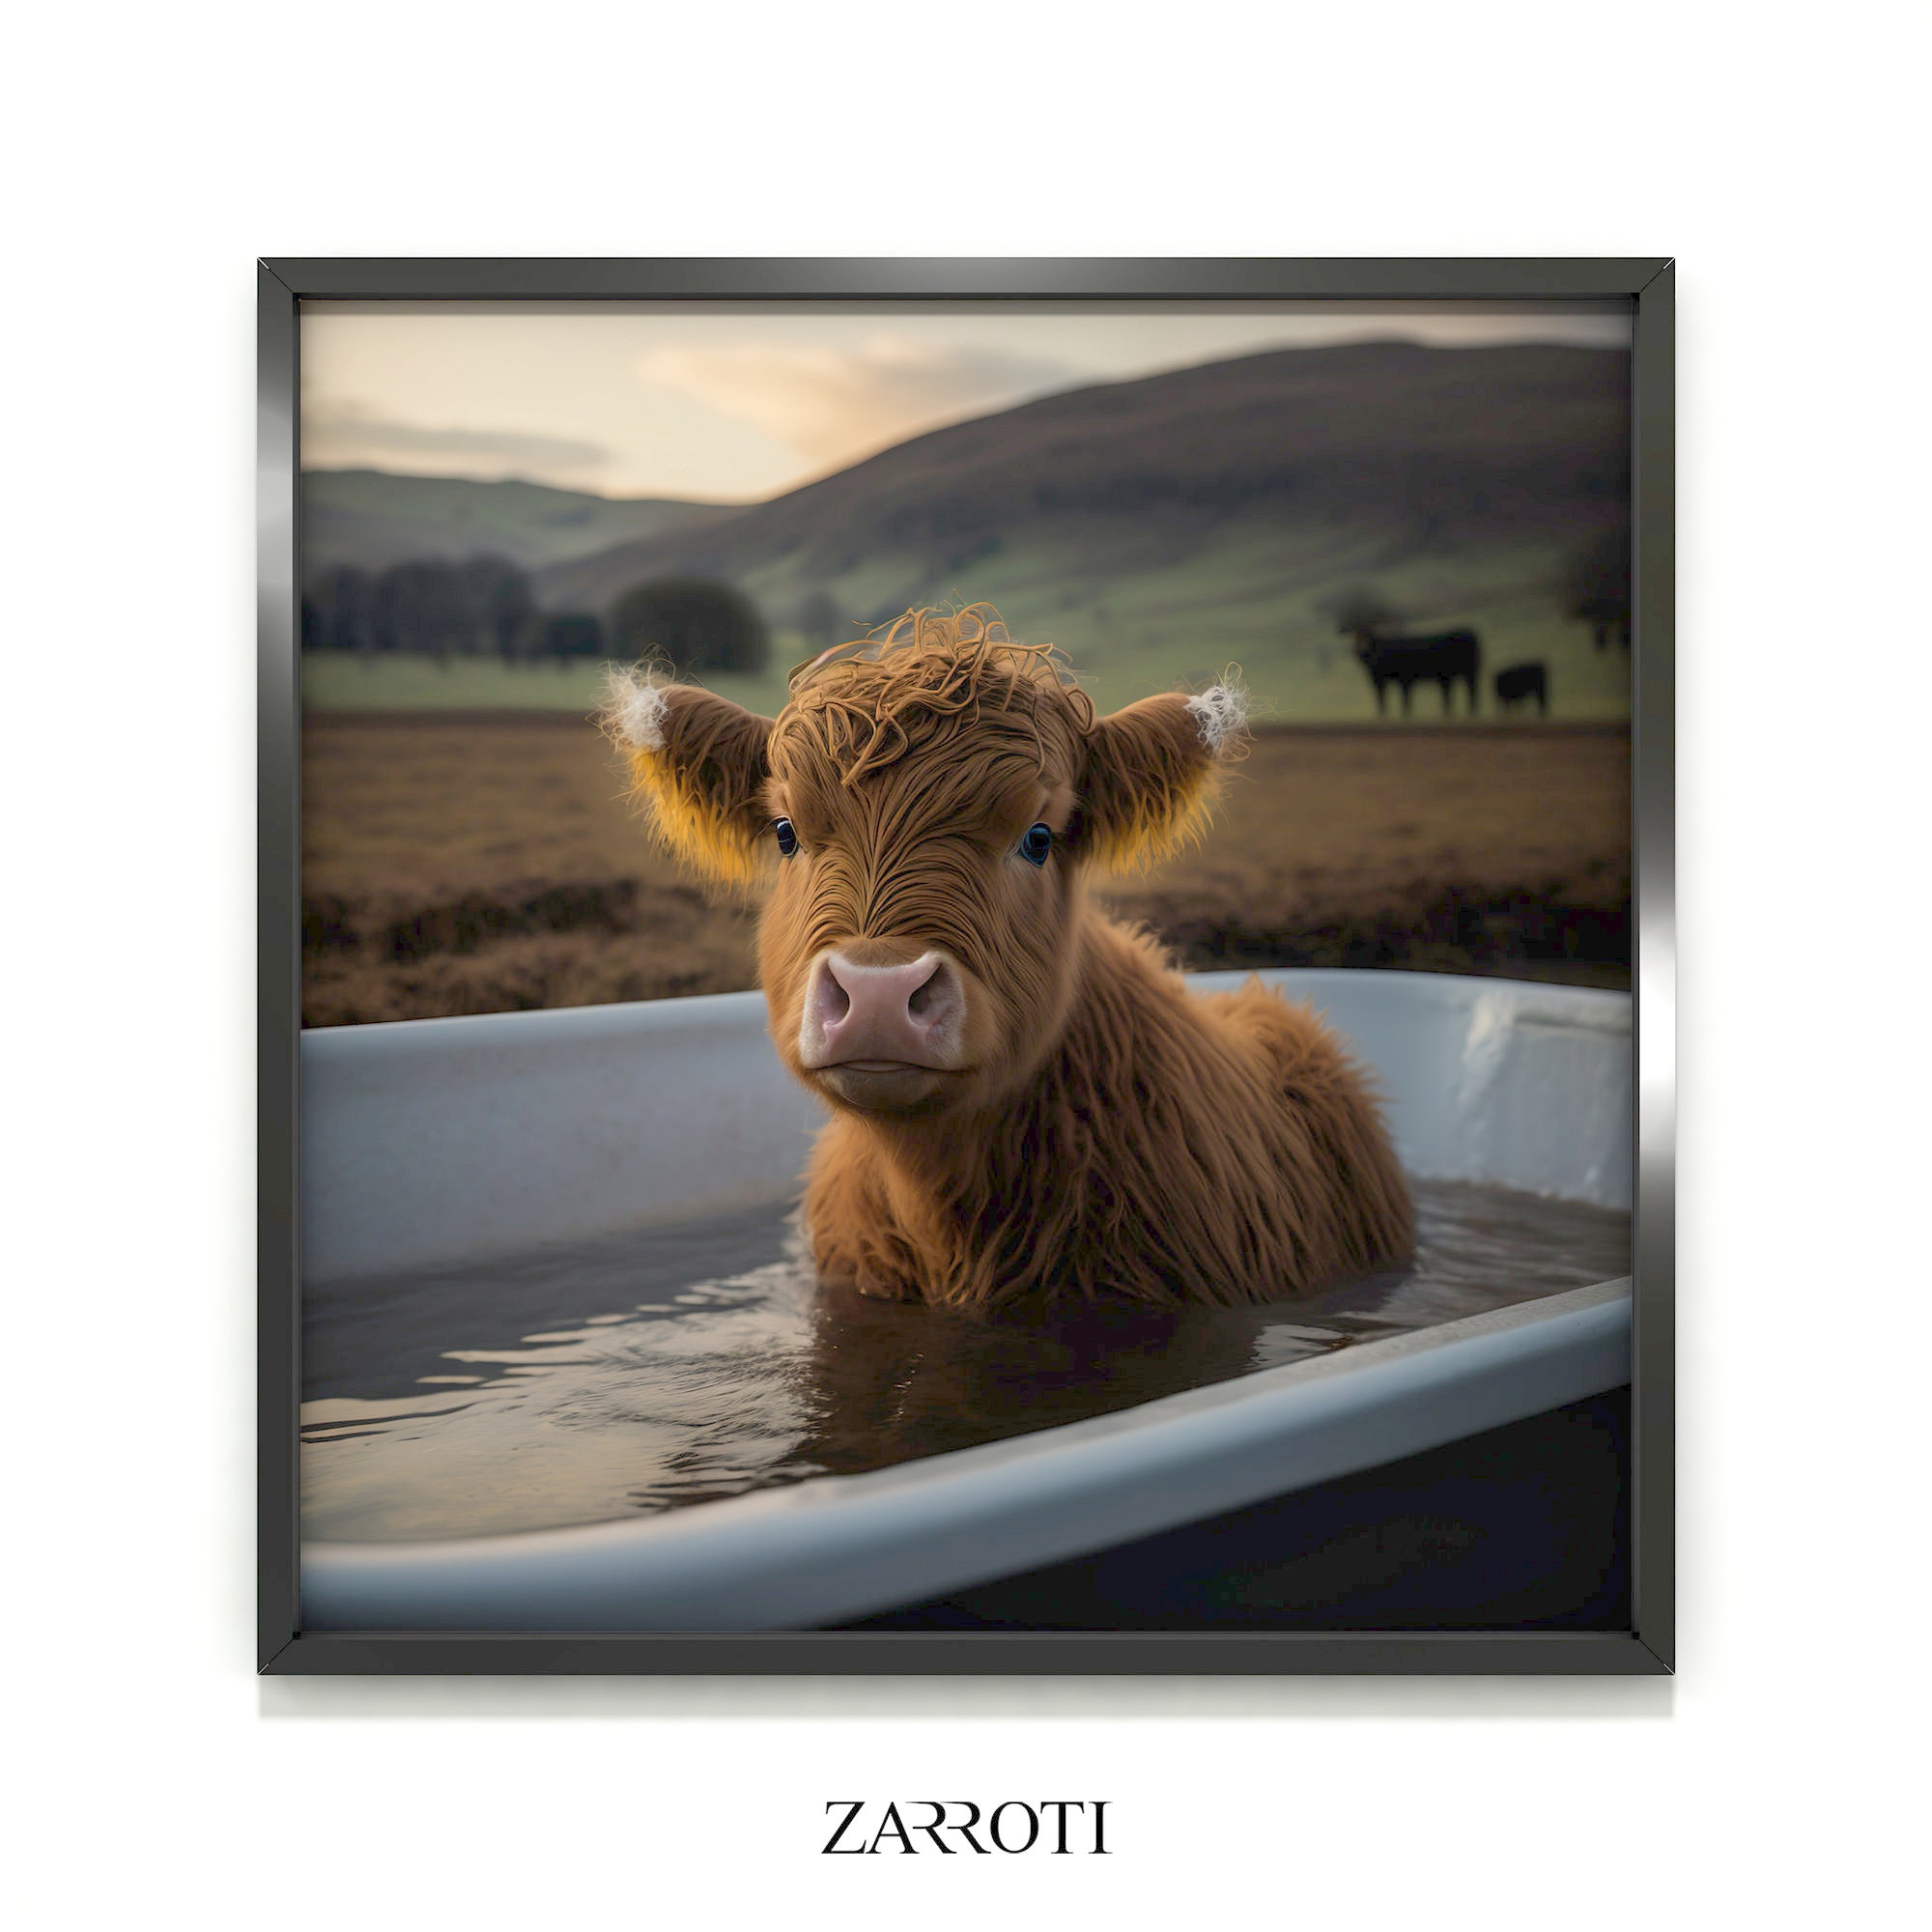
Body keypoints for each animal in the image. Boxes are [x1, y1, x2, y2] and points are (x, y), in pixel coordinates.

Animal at [1351, 628, 1482, 717]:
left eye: (1368, 640)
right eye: (1356, 639)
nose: (1361, 649)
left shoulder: (1400, 678)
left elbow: (1401, 698)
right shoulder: (1383, 680)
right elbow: (1385, 698)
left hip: (1470, 673)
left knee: (1471, 690)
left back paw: (1470, 712)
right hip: (1456, 675)